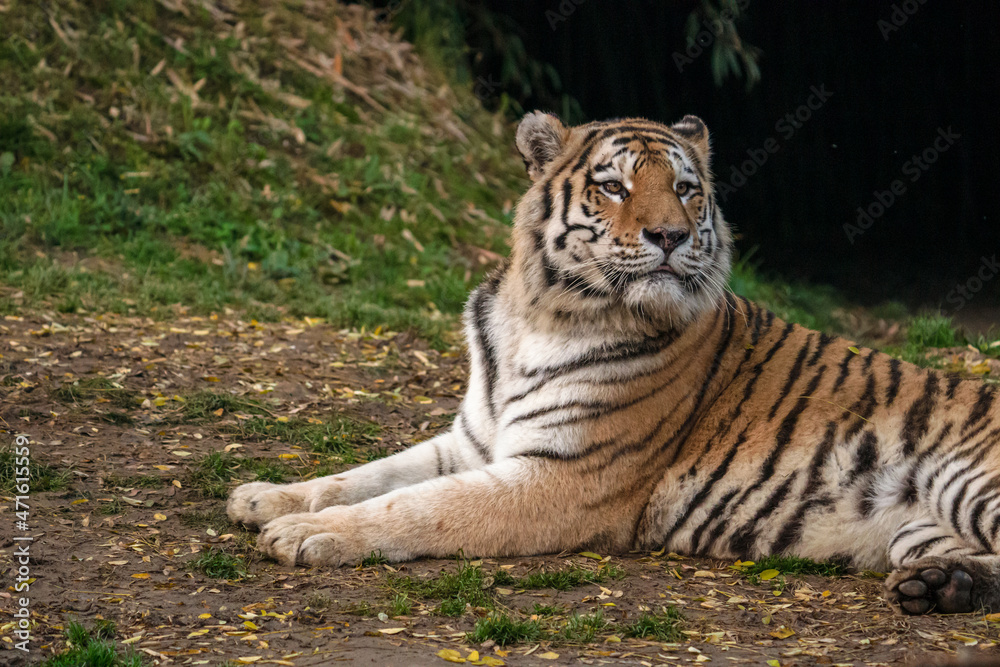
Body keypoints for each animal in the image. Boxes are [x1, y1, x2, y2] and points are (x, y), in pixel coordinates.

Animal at [228, 111, 1000, 616]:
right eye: (615, 187)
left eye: (686, 189)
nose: (670, 235)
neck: (539, 315)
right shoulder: (473, 440)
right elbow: (368, 474)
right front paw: (265, 496)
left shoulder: (565, 476)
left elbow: (420, 506)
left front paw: (308, 534)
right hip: (919, 527)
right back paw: (942, 585)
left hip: (966, 481)